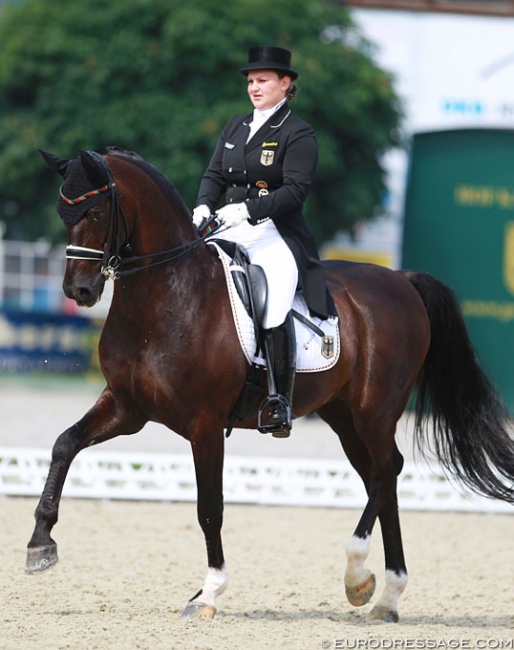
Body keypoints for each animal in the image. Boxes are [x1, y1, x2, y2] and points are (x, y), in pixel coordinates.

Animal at [28, 147, 512, 616]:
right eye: (62, 213)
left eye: (95, 213)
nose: (78, 291)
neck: (168, 296)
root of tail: (401, 280)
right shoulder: (127, 408)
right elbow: (65, 444)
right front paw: (40, 544)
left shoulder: (204, 425)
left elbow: (210, 508)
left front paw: (208, 593)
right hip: (343, 417)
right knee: (380, 477)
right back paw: (385, 596)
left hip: (375, 411)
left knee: (388, 469)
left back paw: (357, 573)